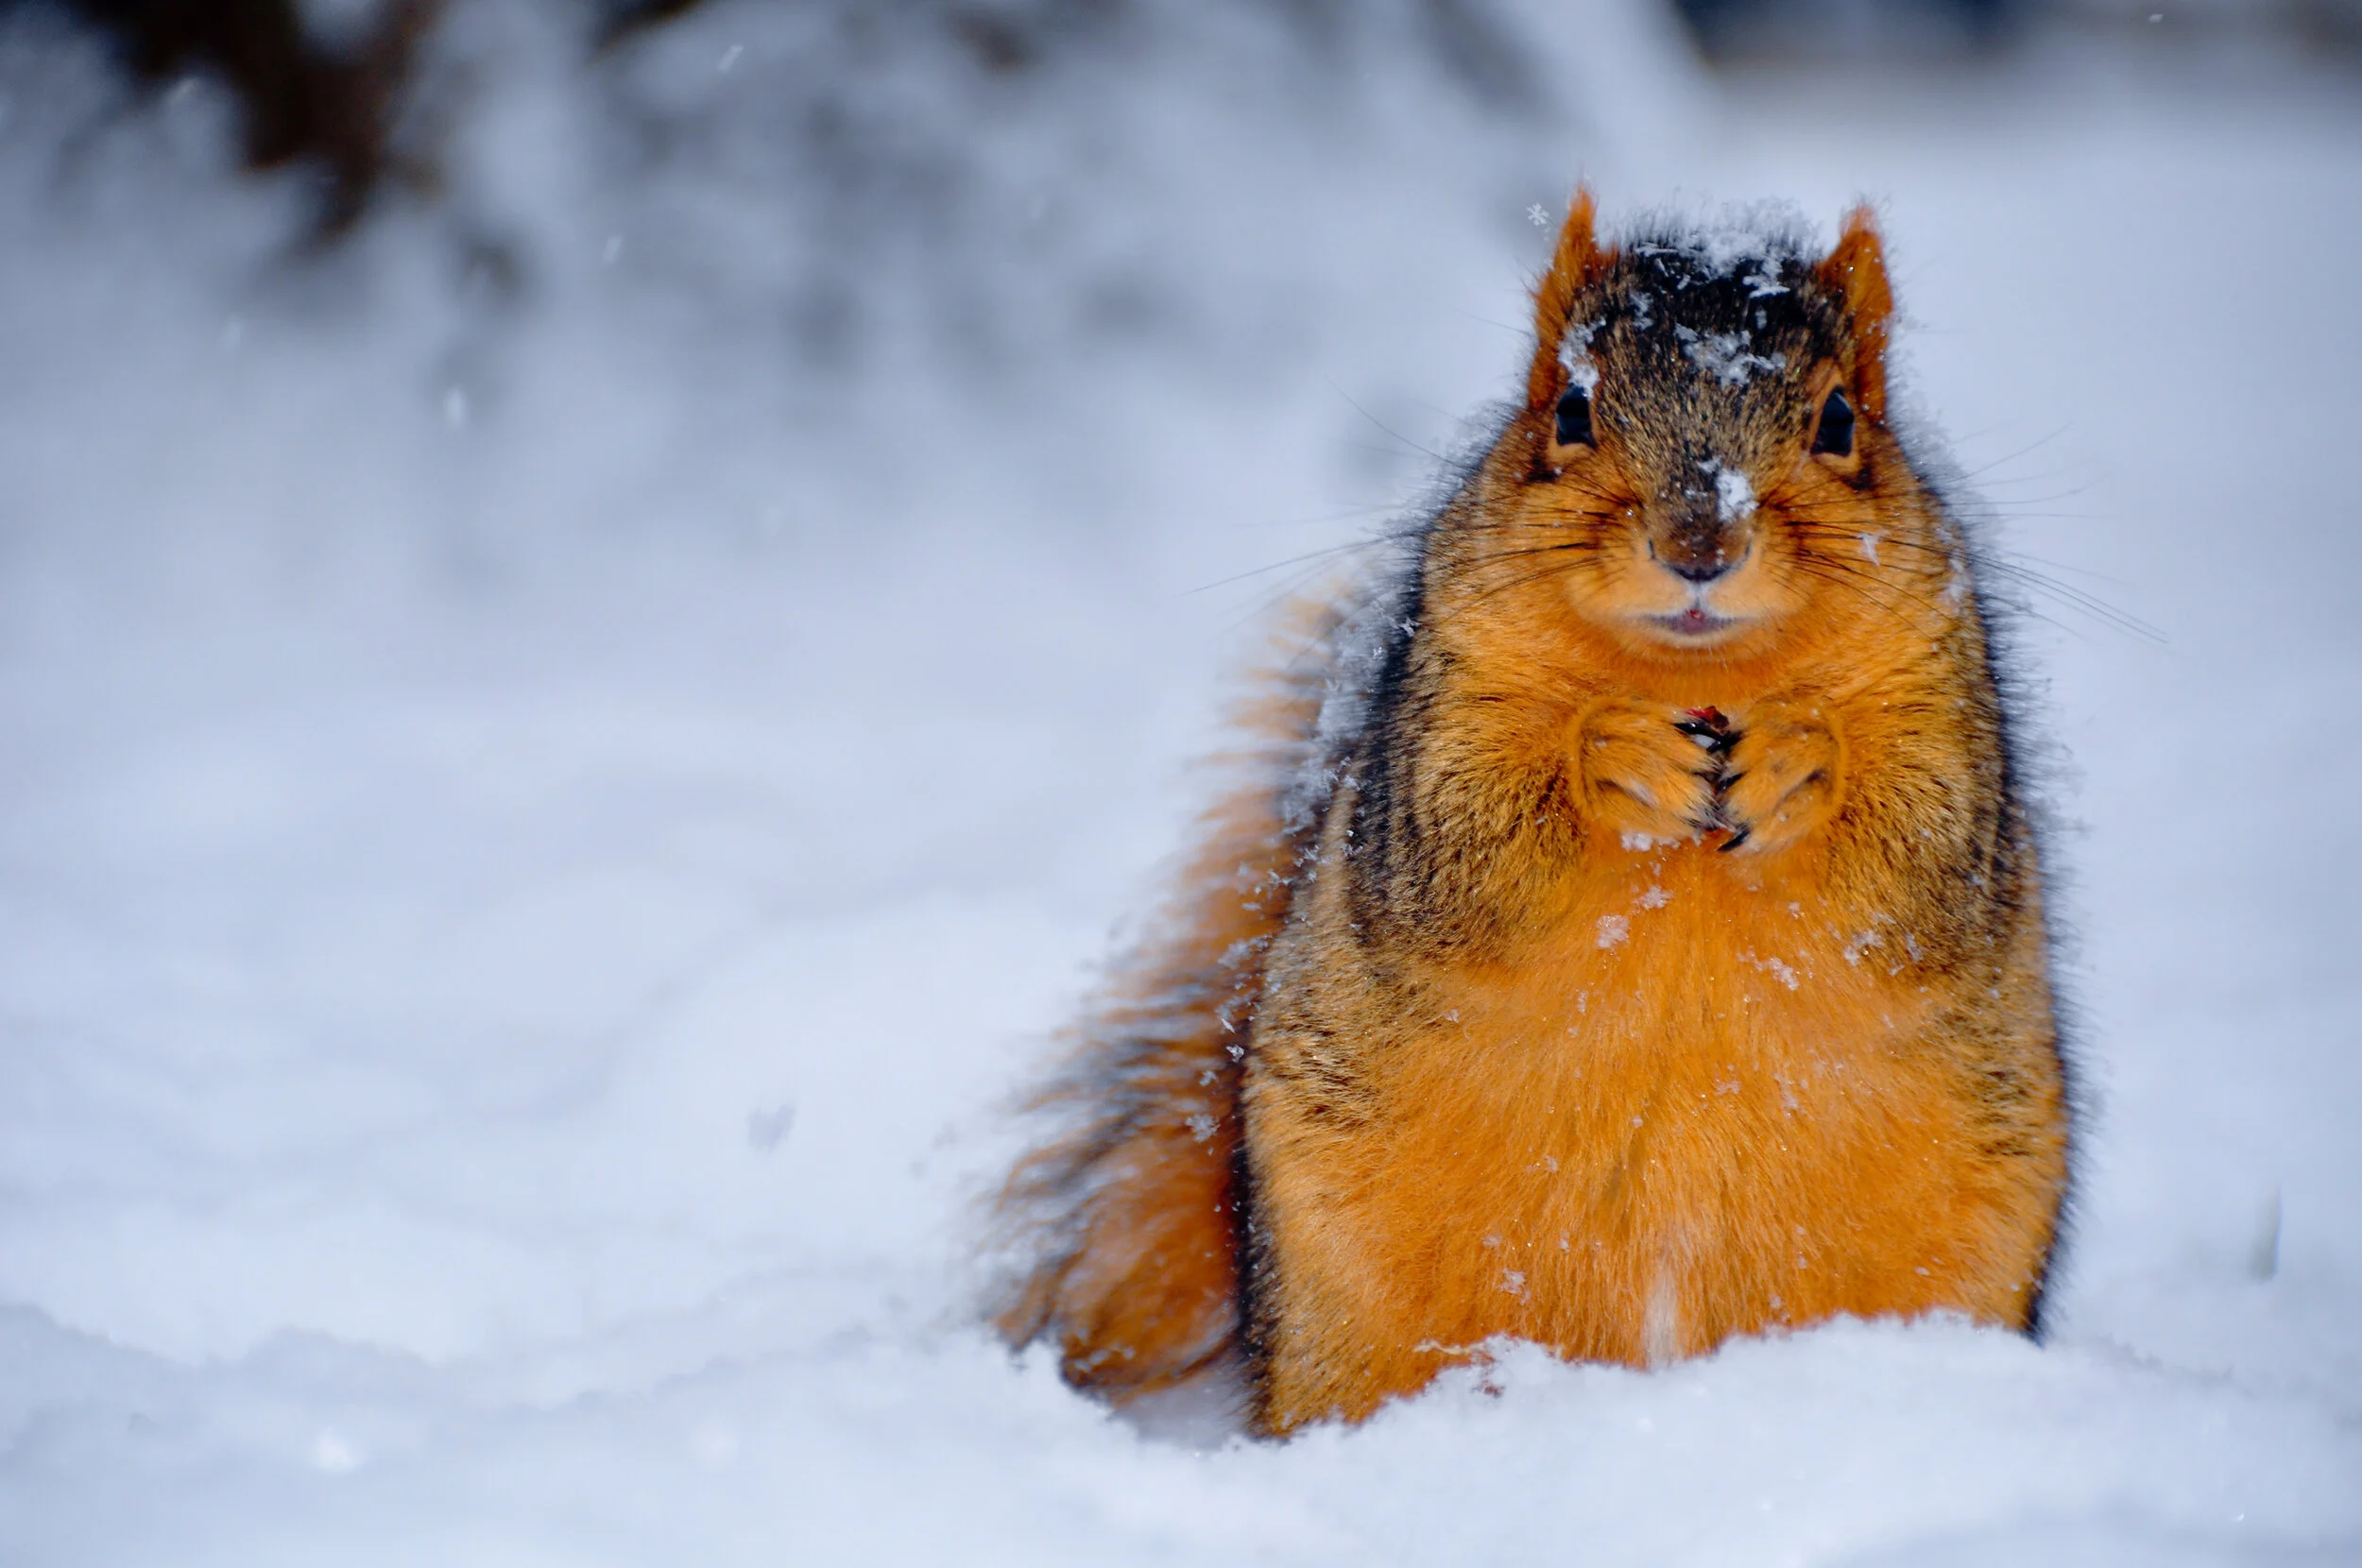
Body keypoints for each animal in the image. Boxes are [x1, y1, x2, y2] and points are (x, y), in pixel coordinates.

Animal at [992, 193, 2072, 1437]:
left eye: (1841, 421)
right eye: (1568, 409)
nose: (1699, 545)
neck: (1701, 675)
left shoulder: (1951, 712)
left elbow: (1923, 866)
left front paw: (1803, 758)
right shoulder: (1435, 727)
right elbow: (1465, 852)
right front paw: (1613, 755)